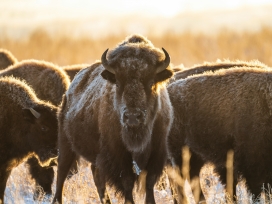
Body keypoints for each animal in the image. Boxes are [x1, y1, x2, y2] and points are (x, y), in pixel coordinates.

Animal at [52, 34, 173, 203]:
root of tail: (68, 93)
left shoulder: (157, 154)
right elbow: (127, 183)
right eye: (118, 83)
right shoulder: (119, 157)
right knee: (61, 174)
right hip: (65, 145)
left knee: (97, 177)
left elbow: (149, 184)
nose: (132, 117)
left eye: (151, 83)